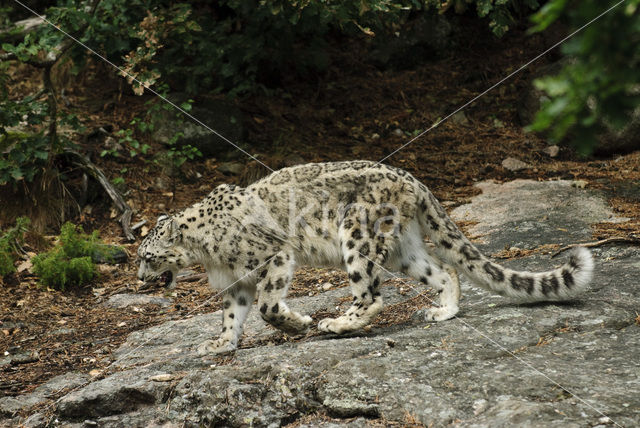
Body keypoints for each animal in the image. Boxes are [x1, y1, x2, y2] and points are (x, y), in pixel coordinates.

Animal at [138, 160, 592, 354]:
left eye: (148, 256)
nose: (140, 281)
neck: (208, 254)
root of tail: (413, 179)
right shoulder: (236, 283)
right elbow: (233, 315)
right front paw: (219, 344)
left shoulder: (274, 258)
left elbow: (267, 306)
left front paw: (298, 322)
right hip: (403, 251)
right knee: (444, 269)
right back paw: (442, 311)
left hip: (357, 237)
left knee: (371, 295)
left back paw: (338, 323)